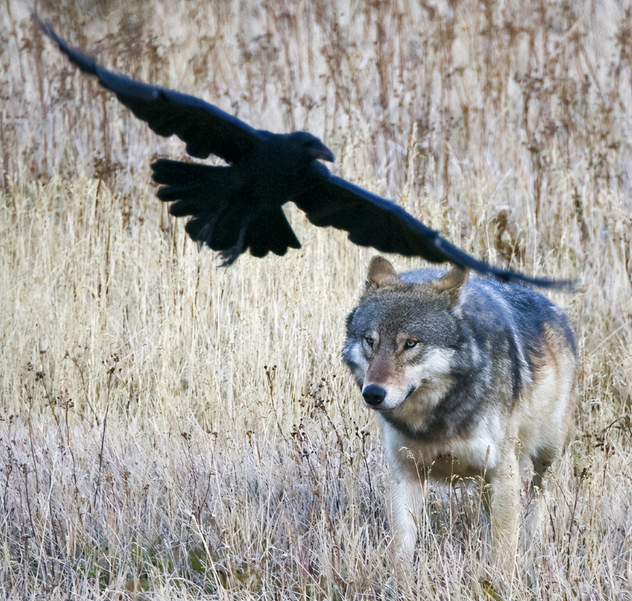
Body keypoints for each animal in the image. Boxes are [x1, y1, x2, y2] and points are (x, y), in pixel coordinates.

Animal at [344, 254, 576, 572]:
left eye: (411, 343)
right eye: (370, 341)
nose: (373, 394)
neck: (437, 419)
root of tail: (554, 308)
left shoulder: (502, 471)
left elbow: (505, 554)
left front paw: (504, 580)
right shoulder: (406, 472)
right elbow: (401, 551)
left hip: (545, 456)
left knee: (538, 498)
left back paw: (532, 546)